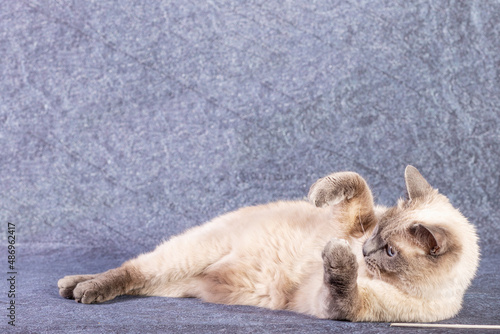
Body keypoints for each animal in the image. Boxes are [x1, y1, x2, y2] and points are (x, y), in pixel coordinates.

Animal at [56, 166, 478, 322]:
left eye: (390, 252)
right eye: (379, 234)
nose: (364, 252)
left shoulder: (337, 305)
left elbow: (342, 283)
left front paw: (337, 254)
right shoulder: (353, 220)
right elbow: (357, 185)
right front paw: (319, 193)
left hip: (175, 280)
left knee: (140, 280)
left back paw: (78, 290)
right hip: (186, 253)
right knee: (129, 270)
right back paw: (75, 286)